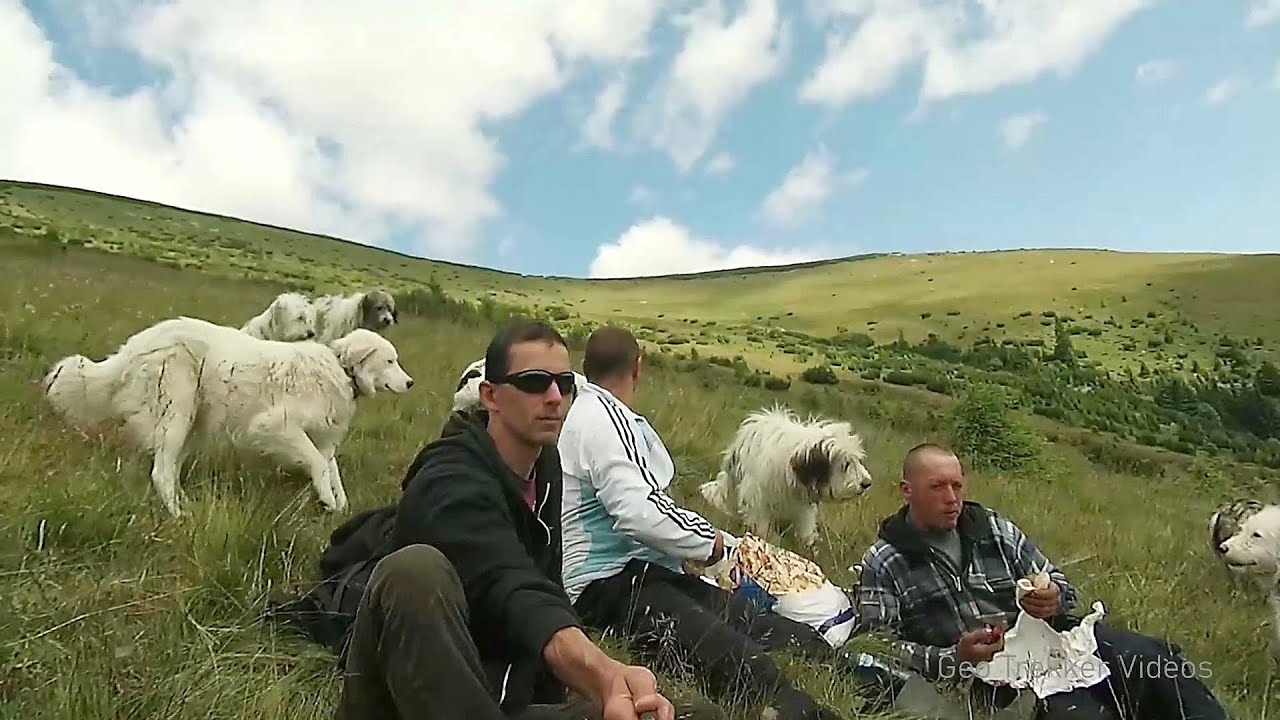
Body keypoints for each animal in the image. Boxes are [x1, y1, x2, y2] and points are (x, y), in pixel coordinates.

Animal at [42, 316, 412, 512]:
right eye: (390, 360)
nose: (410, 383)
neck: (341, 368)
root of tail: (136, 345)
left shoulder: (323, 438)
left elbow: (331, 471)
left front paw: (338, 506)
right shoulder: (274, 426)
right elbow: (319, 466)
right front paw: (331, 503)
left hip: (190, 423)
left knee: (170, 468)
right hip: (177, 414)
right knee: (161, 472)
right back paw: (178, 516)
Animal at [696, 404, 875, 548]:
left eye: (857, 460)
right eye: (845, 464)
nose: (867, 483)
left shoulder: (803, 503)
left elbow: (805, 524)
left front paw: (807, 543)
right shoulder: (756, 497)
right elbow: (761, 522)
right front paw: (770, 539)